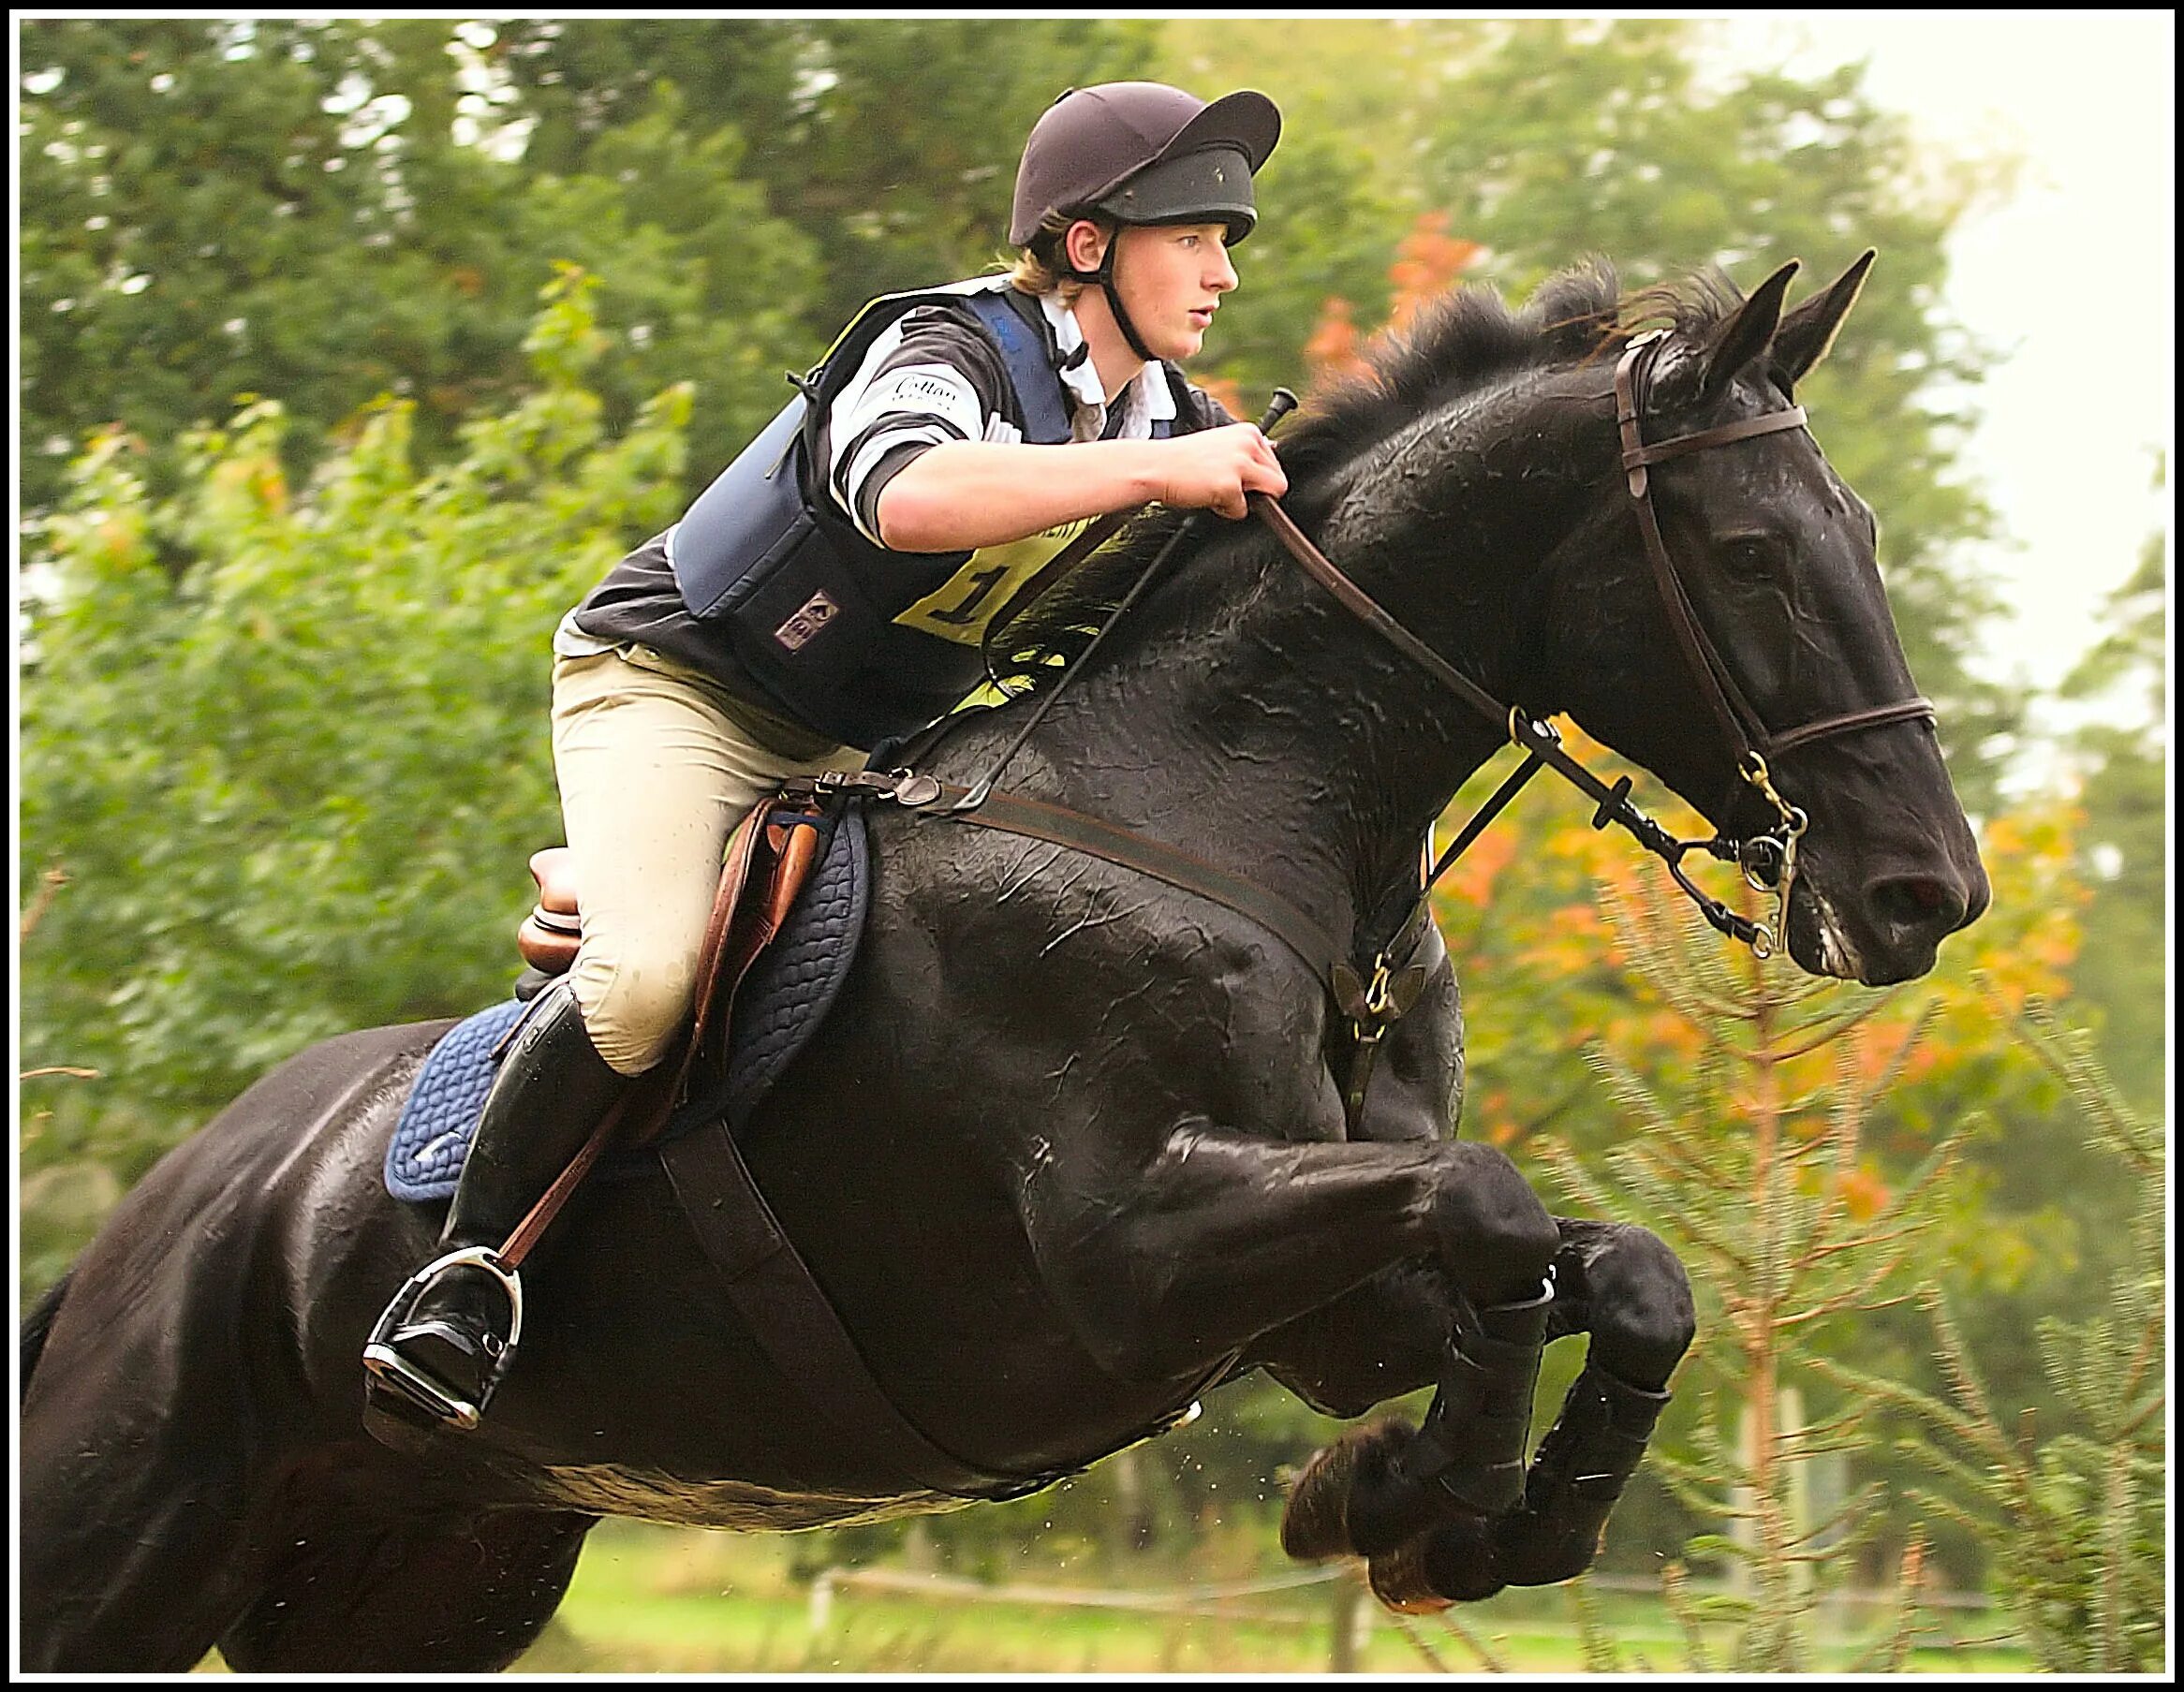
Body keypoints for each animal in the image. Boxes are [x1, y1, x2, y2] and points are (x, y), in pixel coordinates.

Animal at [21, 251, 2000, 1668]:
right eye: (1747, 551)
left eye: (1862, 535)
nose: (1926, 893)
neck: (1241, 804)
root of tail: (180, 1191)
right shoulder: (1120, 1254)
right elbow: (1498, 1207)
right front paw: (1418, 1500)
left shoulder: (1320, 1299)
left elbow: (1612, 1270)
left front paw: (1455, 1516)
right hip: (126, 1536)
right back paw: (444, 1320)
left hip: (420, 1576)